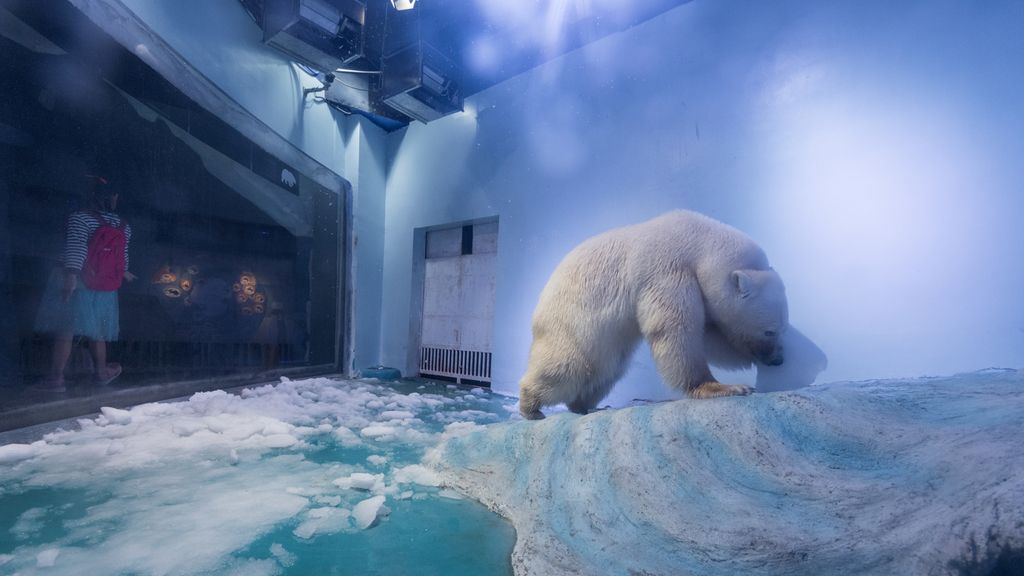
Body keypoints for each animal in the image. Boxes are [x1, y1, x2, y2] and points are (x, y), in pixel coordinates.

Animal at [518, 210, 789, 420]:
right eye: (770, 331)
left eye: (782, 329)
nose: (778, 360)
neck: (698, 241)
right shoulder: (667, 270)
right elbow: (676, 331)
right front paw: (727, 387)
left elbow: (709, 334)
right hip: (570, 325)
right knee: (568, 366)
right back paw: (531, 406)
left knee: (605, 371)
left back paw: (587, 407)